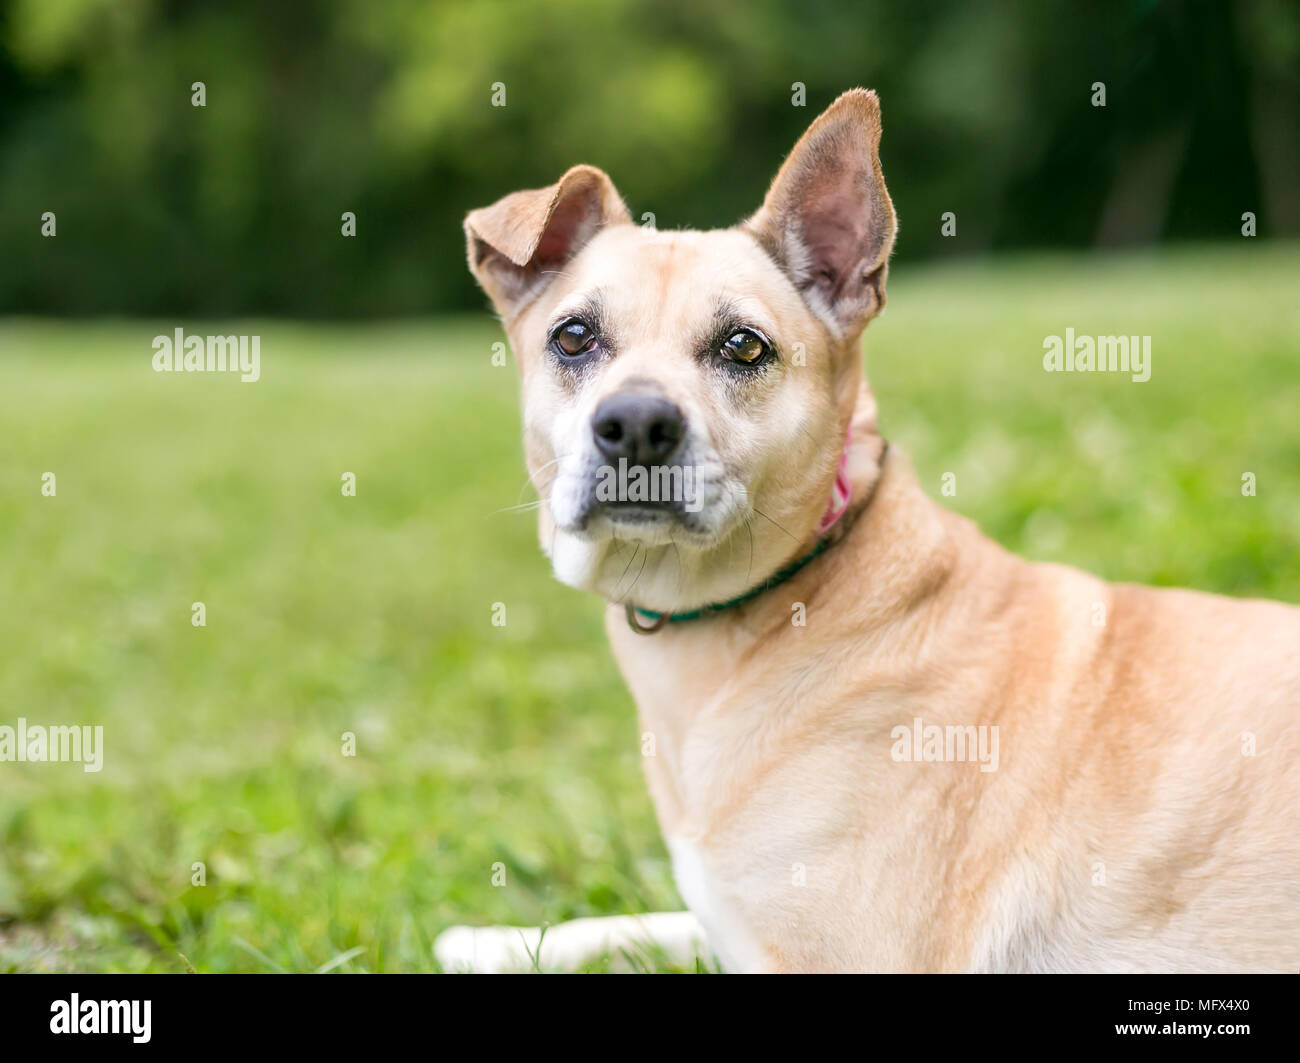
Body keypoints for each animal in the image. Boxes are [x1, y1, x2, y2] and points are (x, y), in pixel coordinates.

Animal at [436, 89, 1300, 966]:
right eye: (574, 336)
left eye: (743, 346)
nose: (637, 424)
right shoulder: (723, 919)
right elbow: (646, 920)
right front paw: (497, 939)